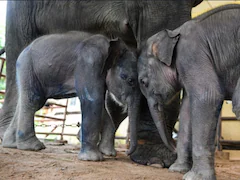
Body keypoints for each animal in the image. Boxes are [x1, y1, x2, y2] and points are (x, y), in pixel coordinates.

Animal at [2, 31, 141, 162]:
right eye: (130, 80)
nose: (127, 152)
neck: (111, 45)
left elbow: (101, 105)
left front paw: (109, 153)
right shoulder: (90, 62)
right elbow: (93, 100)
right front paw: (93, 159)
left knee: (24, 100)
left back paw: (11, 144)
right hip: (28, 67)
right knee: (34, 100)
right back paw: (34, 146)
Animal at [138, 3, 240, 180]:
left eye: (143, 82)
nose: (172, 146)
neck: (173, 33)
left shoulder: (192, 54)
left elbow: (207, 96)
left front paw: (194, 177)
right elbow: (186, 109)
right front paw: (177, 170)